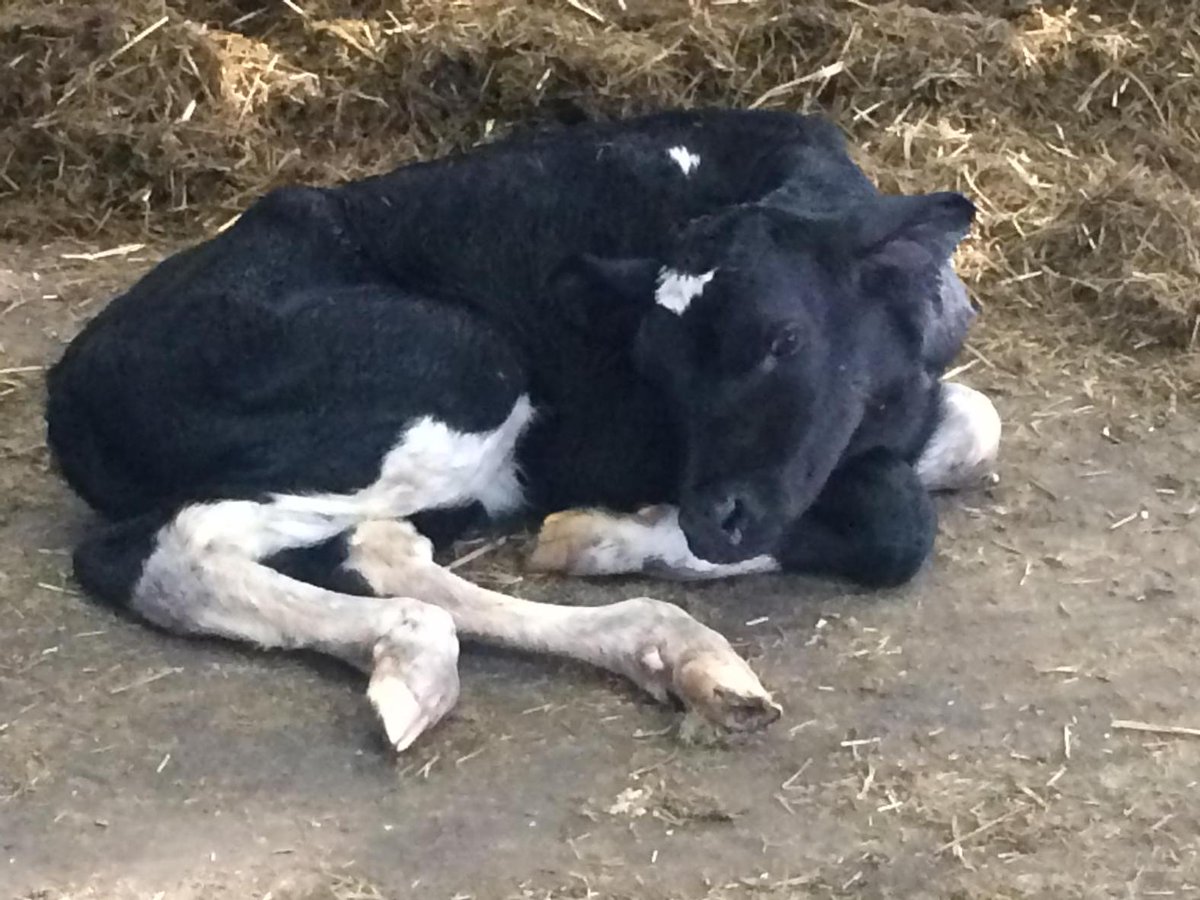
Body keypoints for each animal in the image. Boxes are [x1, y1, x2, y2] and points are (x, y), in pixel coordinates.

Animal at [45, 109, 1000, 752]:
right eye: (658, 371)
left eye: (783, 339)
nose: (708, 517)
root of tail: (69, 381)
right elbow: (898, 524)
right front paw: (610, 535)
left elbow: (974, 428)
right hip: (464, 363)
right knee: (170, 545)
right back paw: (423, 649)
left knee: (381, 546)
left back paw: (665, 649)